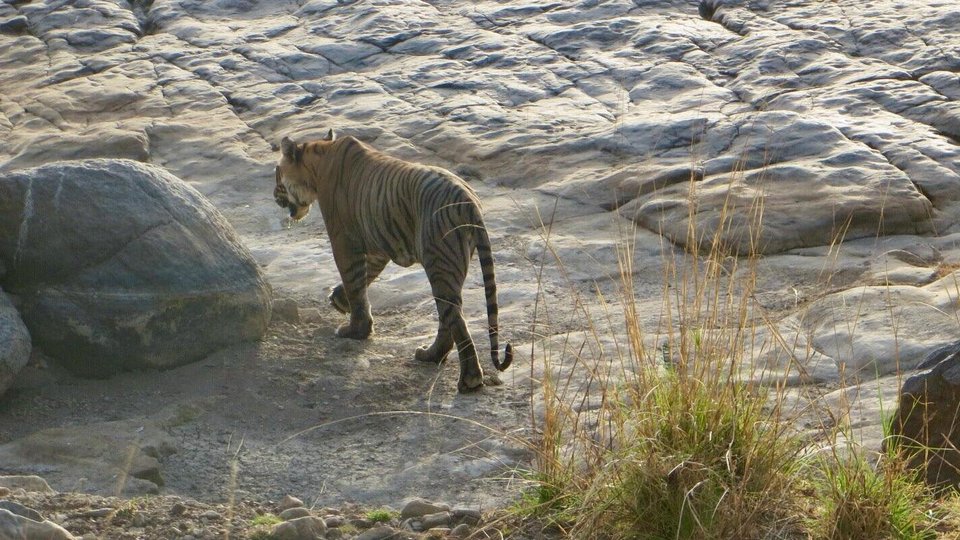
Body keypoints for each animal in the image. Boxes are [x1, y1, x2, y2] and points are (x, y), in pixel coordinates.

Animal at [273, 129, 512, 392]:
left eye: (277, 172)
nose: (274, 195)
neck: (319, 159)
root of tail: (469, 202)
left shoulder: (343, 239)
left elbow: (354, 281)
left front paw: (355, 329)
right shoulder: (378, 248)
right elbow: (363, 277)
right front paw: (340, 300)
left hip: (439, 265)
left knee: (456, 322)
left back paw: (469, 381)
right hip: (449, 269)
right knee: (448, 318)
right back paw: (430, 355)